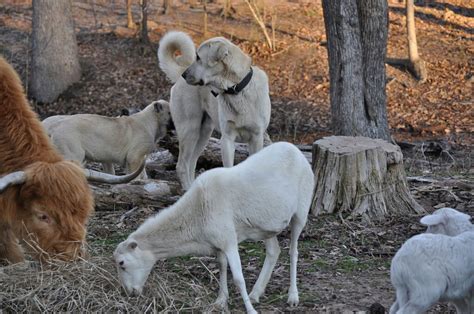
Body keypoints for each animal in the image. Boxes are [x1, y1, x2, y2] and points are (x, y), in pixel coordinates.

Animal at [42, 100, 171, 179]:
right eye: (170, 112)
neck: (151, 121)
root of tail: (54, 127)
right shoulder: (134, 157)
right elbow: (137, 175)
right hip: (72, 153)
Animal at [113, 143, 316, 314]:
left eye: (122, 263)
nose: (129, 293)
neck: (196, 212)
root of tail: (295, 150)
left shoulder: (229, 239)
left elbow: (238, 278)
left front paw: (250, 311)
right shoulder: (218, 242)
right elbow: (222, 266)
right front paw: (221, 301)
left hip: (301, 212)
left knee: (293, 251)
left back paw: (292, 297)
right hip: (266, 226)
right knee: (274, 251)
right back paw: (256, 294)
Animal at [158, 31, 270, 189]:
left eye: (199, 57)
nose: (184, 75)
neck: (237, 90)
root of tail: (179, 77)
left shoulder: (256, 137)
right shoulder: (227, 139)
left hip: (204, 133)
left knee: (191, 164)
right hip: (190, 130)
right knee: (182, 166)